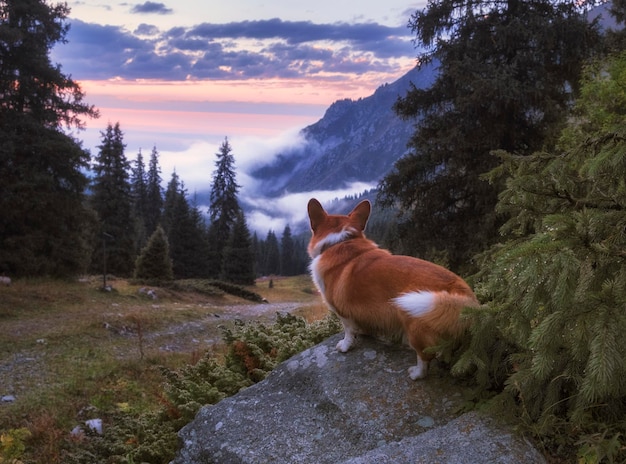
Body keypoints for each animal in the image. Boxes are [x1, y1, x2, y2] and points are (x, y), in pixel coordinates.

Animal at [308, 198, 478, 378]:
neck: (341, 241)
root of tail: (463, 294)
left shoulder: (342, 311)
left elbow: (348, 330)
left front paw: (346, 345)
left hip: (412, 320)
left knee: (425, 356)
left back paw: (416, 373)